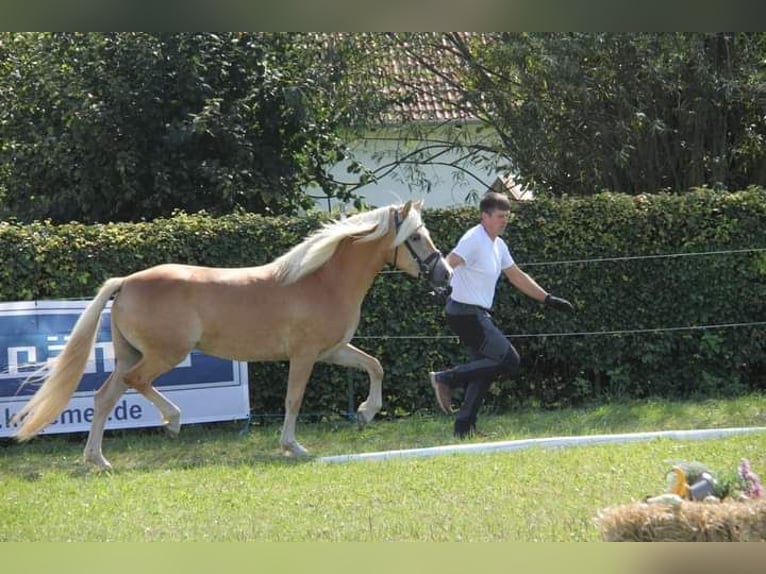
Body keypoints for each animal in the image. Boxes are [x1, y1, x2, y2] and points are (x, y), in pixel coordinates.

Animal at [12, 200, 450, 470]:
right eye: (415, 237)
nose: (444, 276)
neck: (322, 280)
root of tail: (127, 283)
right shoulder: (305, 355)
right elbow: (293, 400)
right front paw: (293, 446)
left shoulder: (334, 350)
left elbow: (375, 366)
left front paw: (365, 411)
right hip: (163, 354)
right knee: (136, 383)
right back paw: (172, 421)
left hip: (129, 355)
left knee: (105, 397)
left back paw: (98, 460)